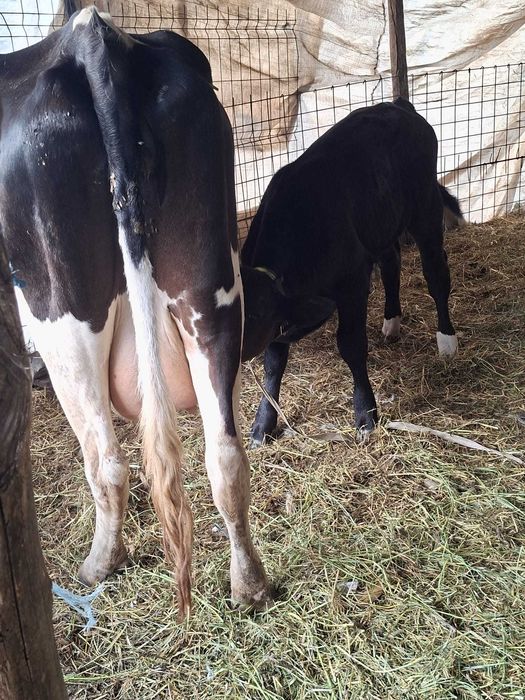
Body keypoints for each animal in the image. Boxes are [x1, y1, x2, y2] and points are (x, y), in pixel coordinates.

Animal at [0, 6, 272, 617]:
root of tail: (92, 36)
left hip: (63, 309)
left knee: (105, 458)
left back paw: (101, 561)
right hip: (210, 289)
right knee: (226, 456)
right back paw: (248, 584)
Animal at [241, 98, 463, 445]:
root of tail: (399, 106)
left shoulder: (353, 282)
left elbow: (351, 344)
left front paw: (365, 415)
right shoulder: (282, 312)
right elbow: (274, 361)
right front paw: (263, 424)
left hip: (425, 210)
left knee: (437, 275)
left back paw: (447, 342)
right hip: (380, 222)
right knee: (391, 263)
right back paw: (392, 323)